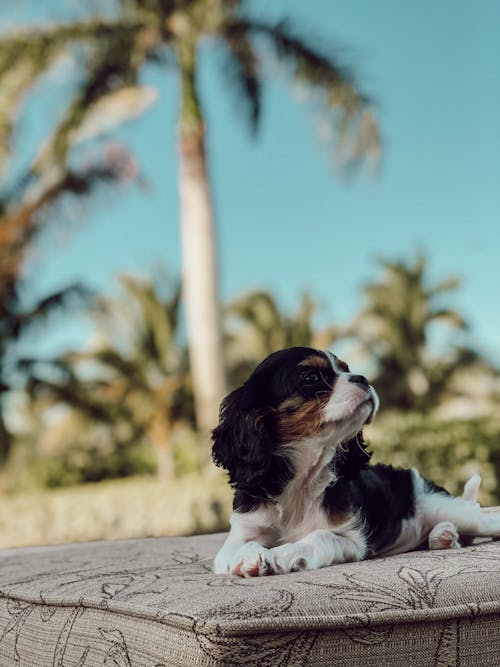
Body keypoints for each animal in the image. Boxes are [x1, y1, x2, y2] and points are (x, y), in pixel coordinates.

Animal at [212, 348, 500, 576]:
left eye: (347, 369)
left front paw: (285, 553)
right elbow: (236, 548)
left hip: (449, 509)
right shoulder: (241, 532)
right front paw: (249, 557)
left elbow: (320, 537)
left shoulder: (353, 540)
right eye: (311, 378)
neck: (302, 481)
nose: (363, 378)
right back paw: (443, 536)